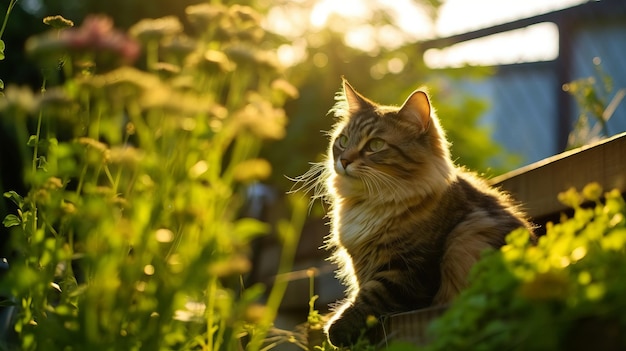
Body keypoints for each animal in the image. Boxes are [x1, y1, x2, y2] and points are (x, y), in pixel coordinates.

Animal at [294, 78, 532, 348]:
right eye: (342, 141)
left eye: (375, 145)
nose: (343, 160)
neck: (371, 202)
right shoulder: (362, 264)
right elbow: (360, 291)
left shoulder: (409, 269)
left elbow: (370, 297)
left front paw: (336, 331)